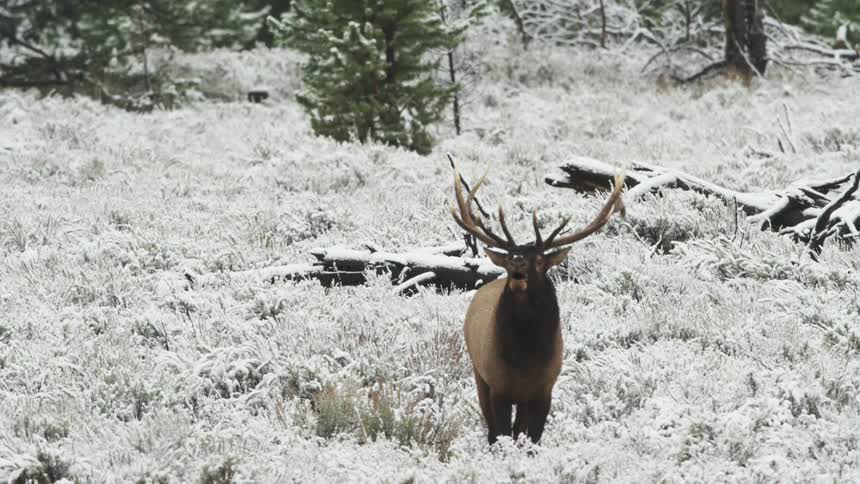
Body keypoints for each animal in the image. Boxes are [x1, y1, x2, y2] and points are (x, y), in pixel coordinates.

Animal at [450, 159, 625, 446]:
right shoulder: (498, 386)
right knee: (490, 428)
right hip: (478, 373)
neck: (526, 359)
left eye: (540, 260)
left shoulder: (544, 389)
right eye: (508, 258)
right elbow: (501, 434)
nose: (517, 263)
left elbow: (532, 438)